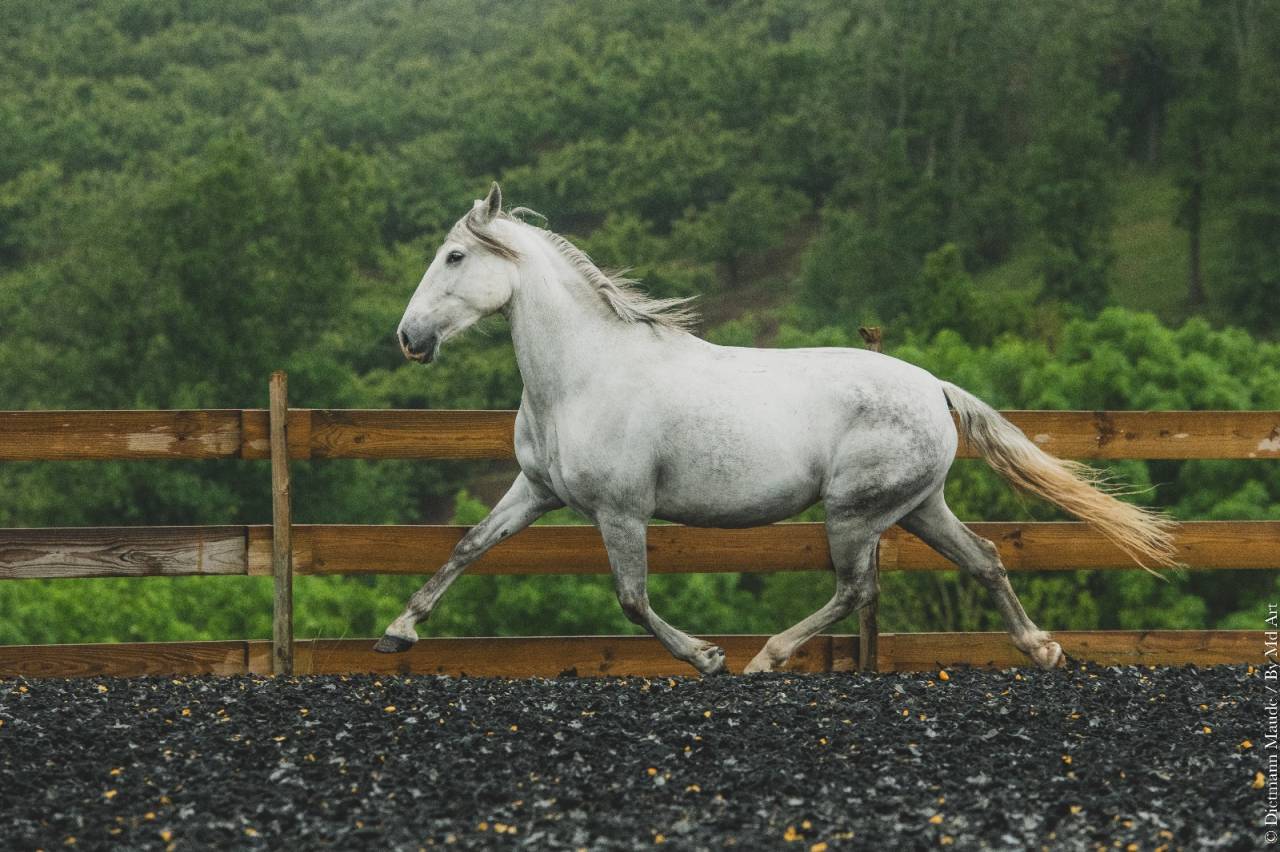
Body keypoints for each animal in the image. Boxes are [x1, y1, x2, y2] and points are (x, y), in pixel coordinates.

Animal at [374, 183, 1177, 675]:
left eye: (454, 256)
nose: (408, 338)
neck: (582, 377)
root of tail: (935, 388)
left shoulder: (621, 511)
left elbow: (632, 598)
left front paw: (707, 657)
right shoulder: (536, 490)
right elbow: (468, 546)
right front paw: (397, 633)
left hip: (855, 512)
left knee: (856, 588)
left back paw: (766, 655)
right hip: (918, 505)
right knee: (983, 559)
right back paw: (1042, 650)